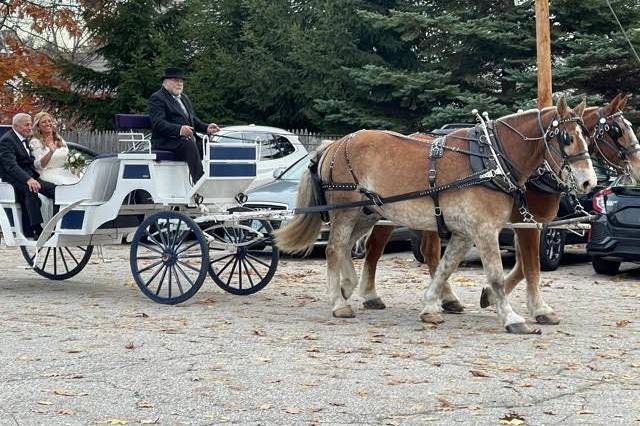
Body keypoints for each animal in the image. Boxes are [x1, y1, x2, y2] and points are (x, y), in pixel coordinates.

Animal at [278, 96, 596, 332]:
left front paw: (431, 304)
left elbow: (445, 267)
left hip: (367, 213)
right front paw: (512, 317)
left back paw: (350, 287)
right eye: (567, 138)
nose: (588, 182)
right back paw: (338, 302)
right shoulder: (486, 230)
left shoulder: (465, 233)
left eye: (587, 138)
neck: (491, 160)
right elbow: (496, 274)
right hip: (345, 211)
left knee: (347, 247)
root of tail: (334, 144)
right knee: (334, 248)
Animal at [358, 95, 636, 324]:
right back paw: (372, 295)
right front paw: (535, 308)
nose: (590, 182)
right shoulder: (528, 224)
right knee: (375, 248)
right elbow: (530, 265)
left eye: (586, 136)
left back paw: (446, 299)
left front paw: (489, 296)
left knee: (429, 252)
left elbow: (523, 264)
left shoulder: (524, 224)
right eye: (616, 131)